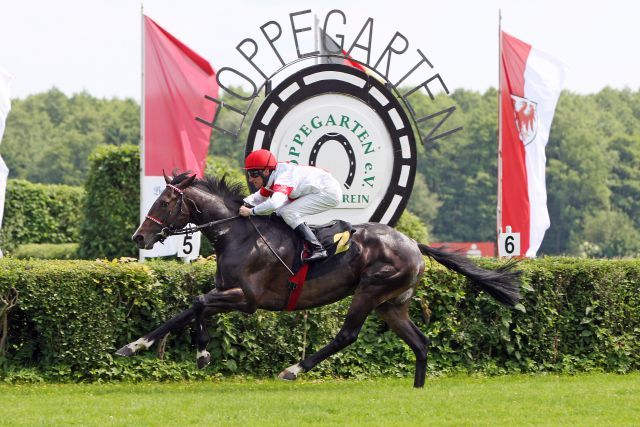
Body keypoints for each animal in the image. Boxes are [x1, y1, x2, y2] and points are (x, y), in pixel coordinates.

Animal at [117, 173, 524, 388]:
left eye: (165, 202)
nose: (139, 237)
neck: (238, 235)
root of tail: (412, 243)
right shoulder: (226, 291)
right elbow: (187, 309)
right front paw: (134, 345)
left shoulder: (247, 299)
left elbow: (198, 304)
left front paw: (201, 353)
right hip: (392, 304)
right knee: (420, 343)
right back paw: (417, 389)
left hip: (370, 290)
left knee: (347, 335)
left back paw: (293, 369)